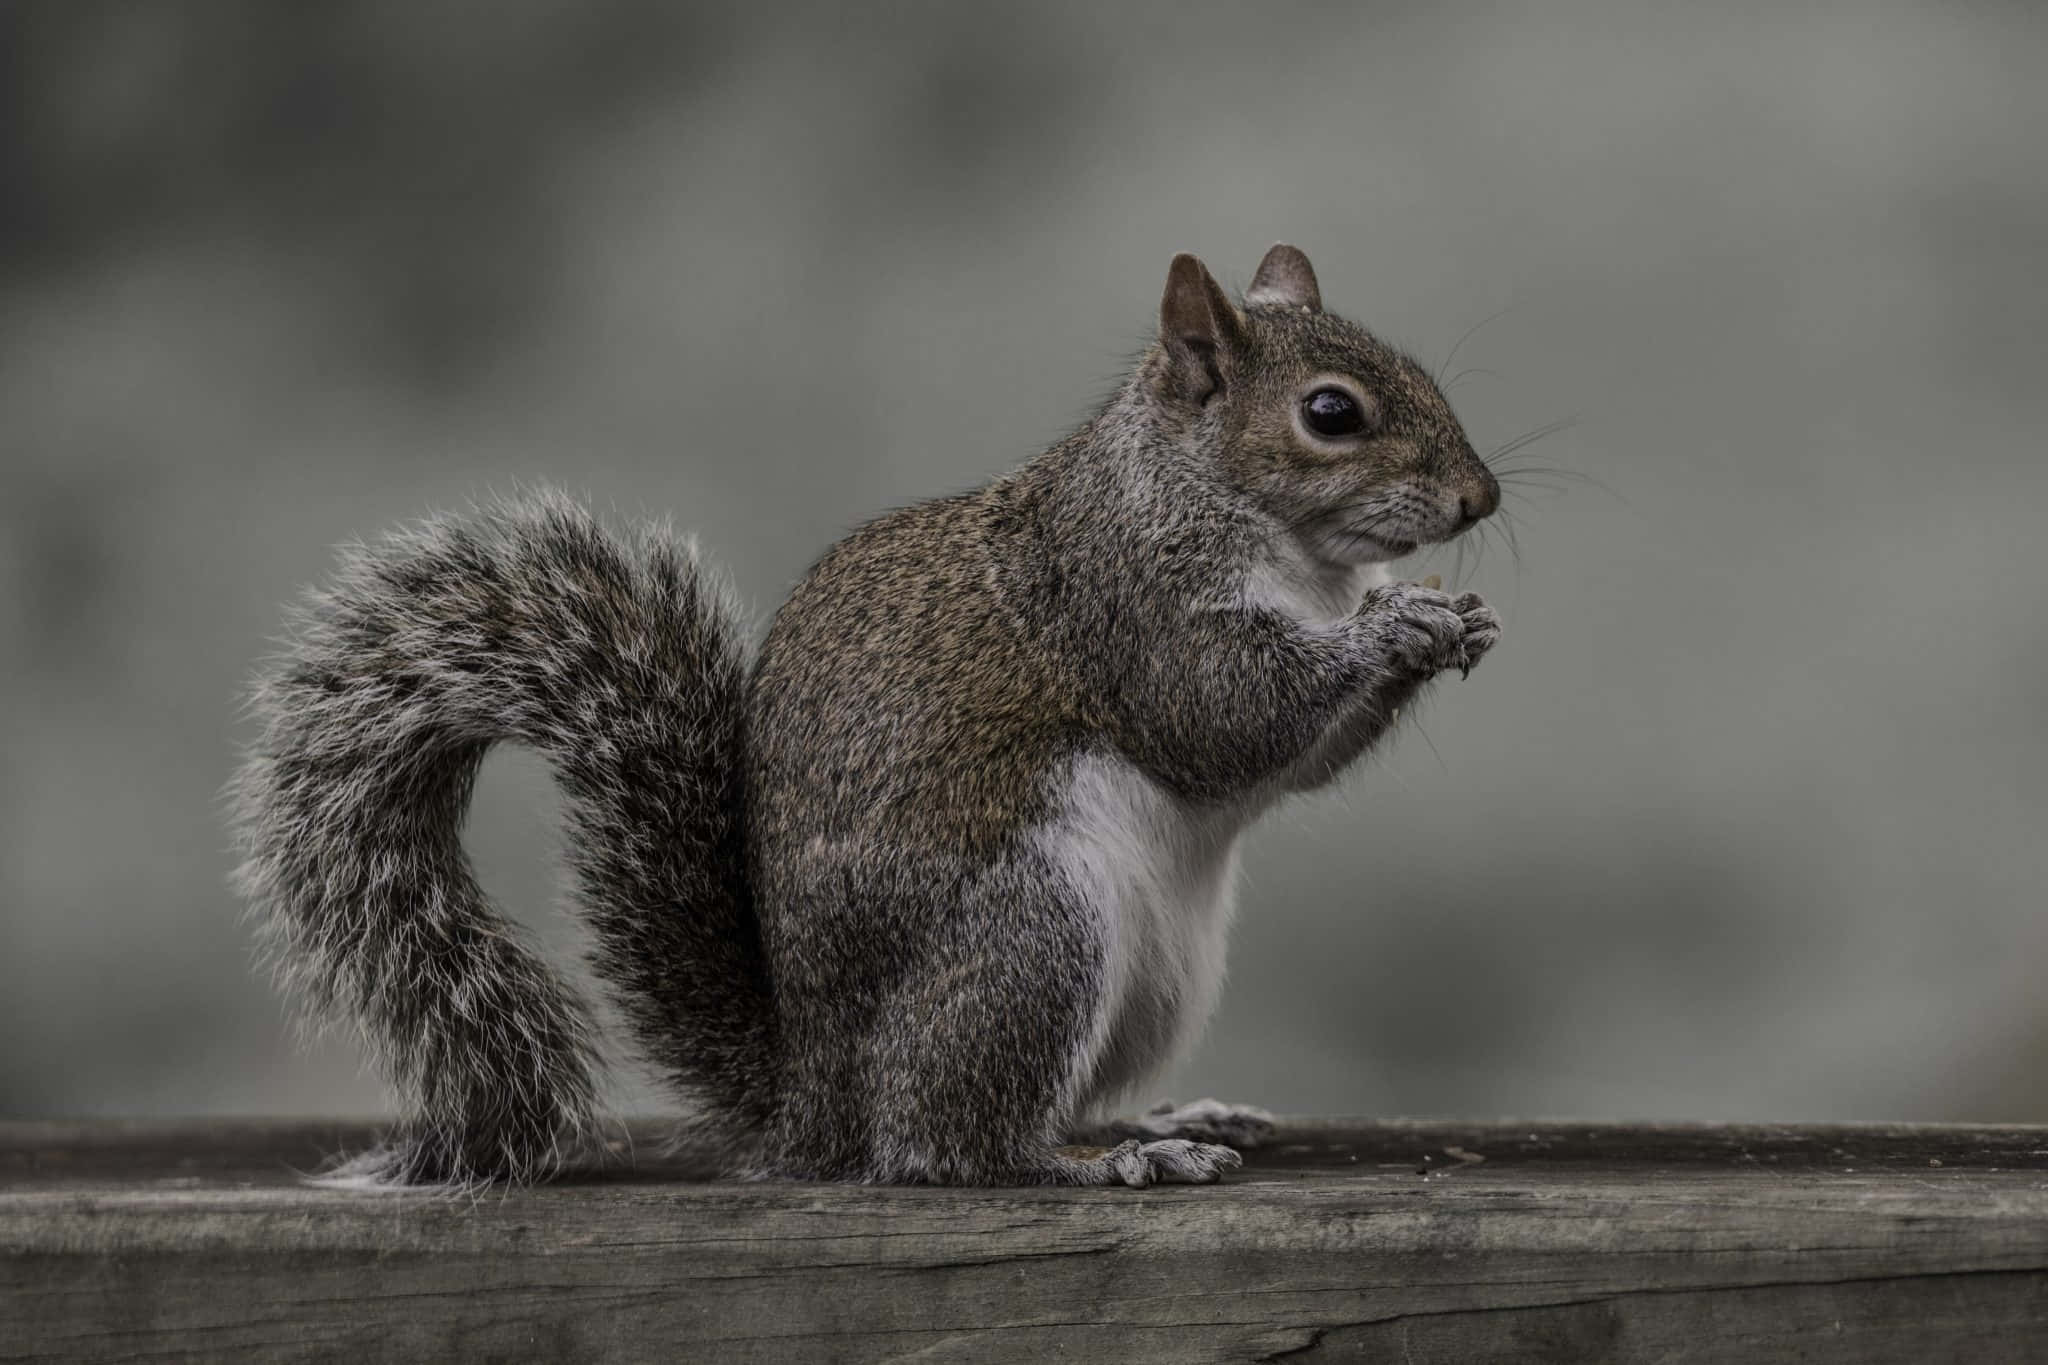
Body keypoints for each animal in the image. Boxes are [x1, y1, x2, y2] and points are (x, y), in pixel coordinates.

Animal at [229, 244, 1503, 1190]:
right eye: (1329, 413)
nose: (1478, 498)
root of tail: (818, 1102)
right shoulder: (1124, 609)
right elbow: (1224, 717)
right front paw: (1393, 628)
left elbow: (1294, 761)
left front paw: (1447, 622)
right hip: (1031, 933)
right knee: (942, 1143)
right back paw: (1099, 1162)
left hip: (1157, 977)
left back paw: (1162, 1119)